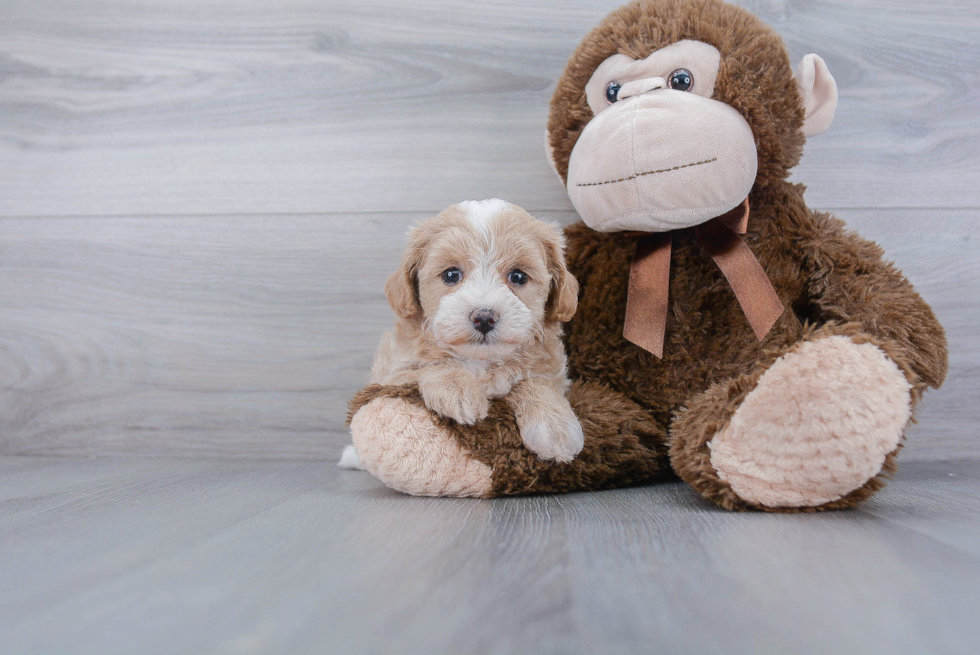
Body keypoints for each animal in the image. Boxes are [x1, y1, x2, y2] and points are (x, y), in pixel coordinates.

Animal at [338, 197, 580, 468]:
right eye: (451, 274)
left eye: (518, 276)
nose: (484, 317)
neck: (480, 361)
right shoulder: (395, 374)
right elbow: (432, 363)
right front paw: (457, 389)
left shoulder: (552, 373)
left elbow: (535, 382)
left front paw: (555, 425)